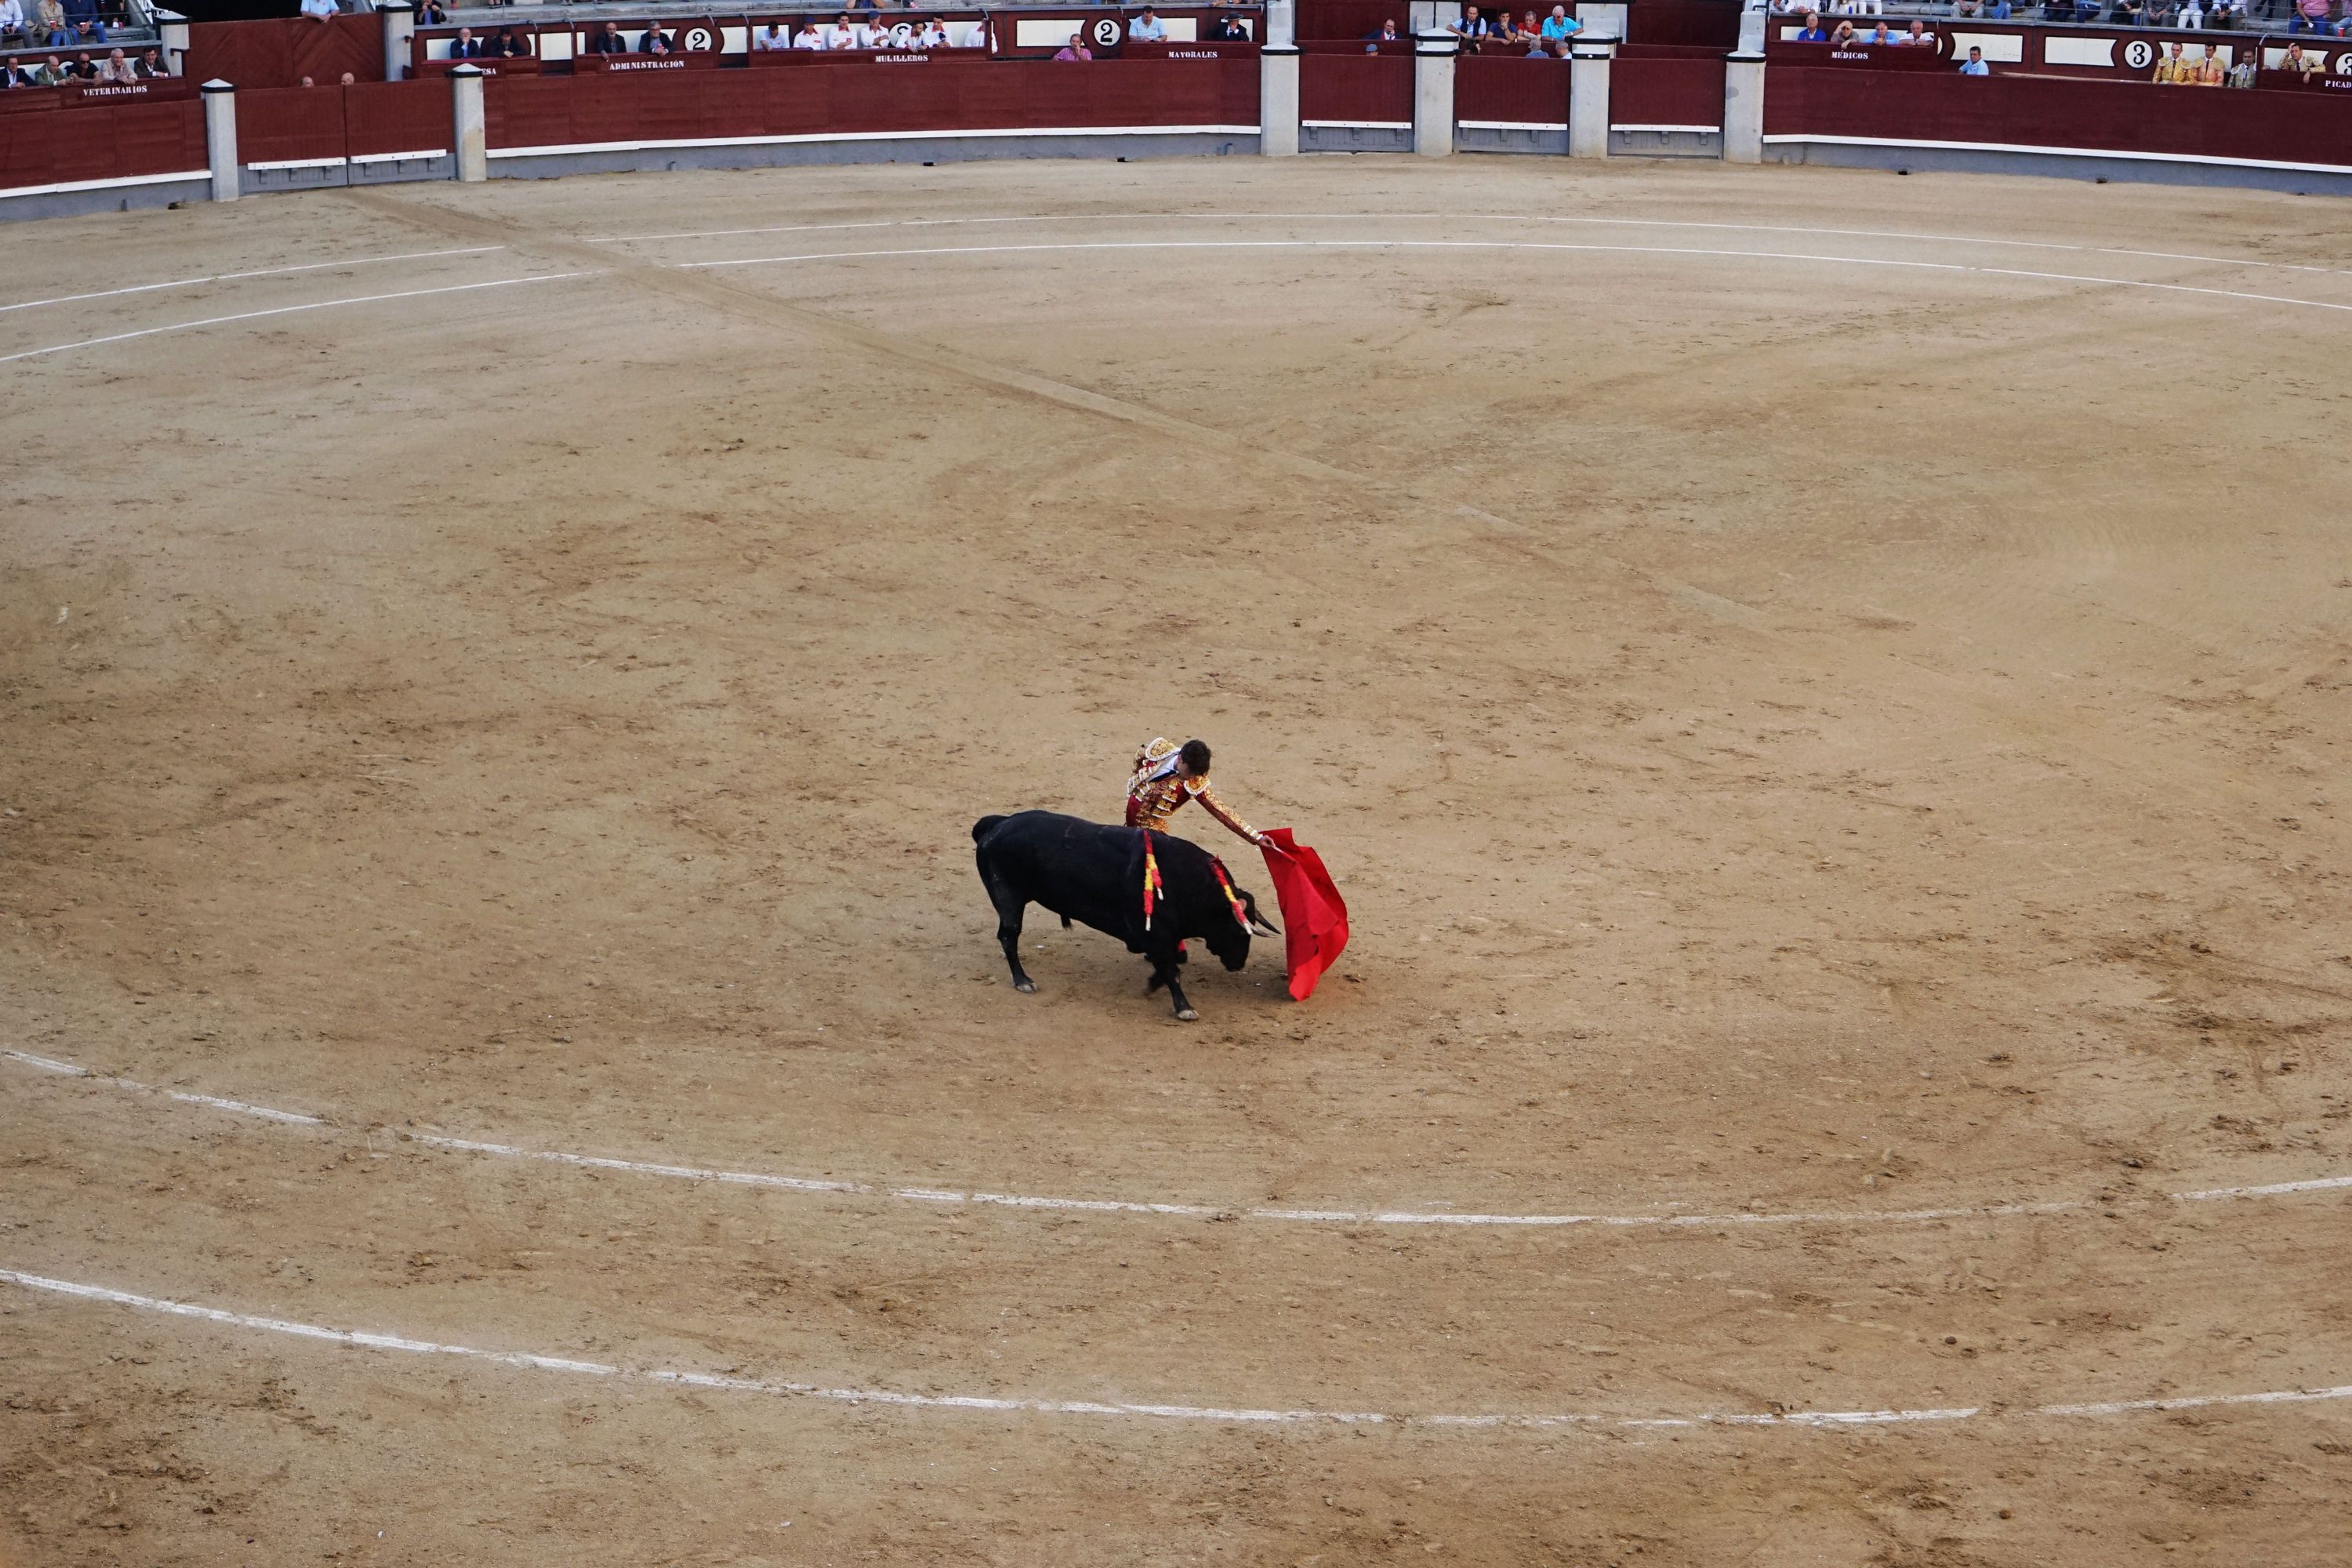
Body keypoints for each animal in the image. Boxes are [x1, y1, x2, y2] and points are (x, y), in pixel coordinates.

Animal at [964, 818, 1279, 1025]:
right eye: (1239, 932)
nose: (1238, 964)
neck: (1191, 886)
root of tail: (995, 825)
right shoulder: (1156, 934)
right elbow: (1172, 970)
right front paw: (1184, 1008)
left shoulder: (1162, 937)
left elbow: (1171, 963)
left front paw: (1152, 985)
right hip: (1008, 897)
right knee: (1009, 935)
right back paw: (1023, 981)